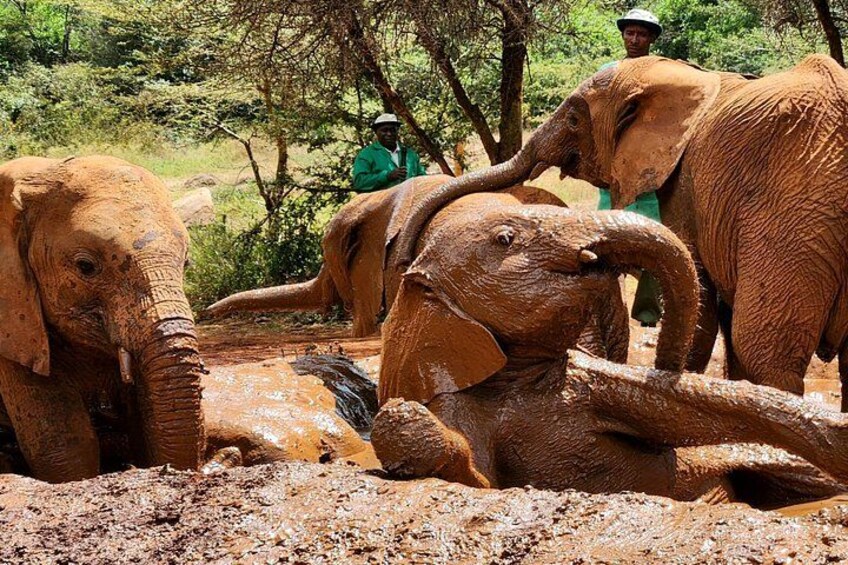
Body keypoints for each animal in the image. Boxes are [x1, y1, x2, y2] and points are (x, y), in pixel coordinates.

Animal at [371, 204, 848, 506]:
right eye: (506, 238)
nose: (668, 360)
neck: (519, 380)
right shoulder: (457, 400)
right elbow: (478, 478)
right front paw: (407, 423)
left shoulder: (588, 379)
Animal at [389, 54, 848, 407]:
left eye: (574, 119)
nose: (402, 262)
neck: (690, 76)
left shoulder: (686, 182)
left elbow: (703, 299)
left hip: (793, 213)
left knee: (767, 352)